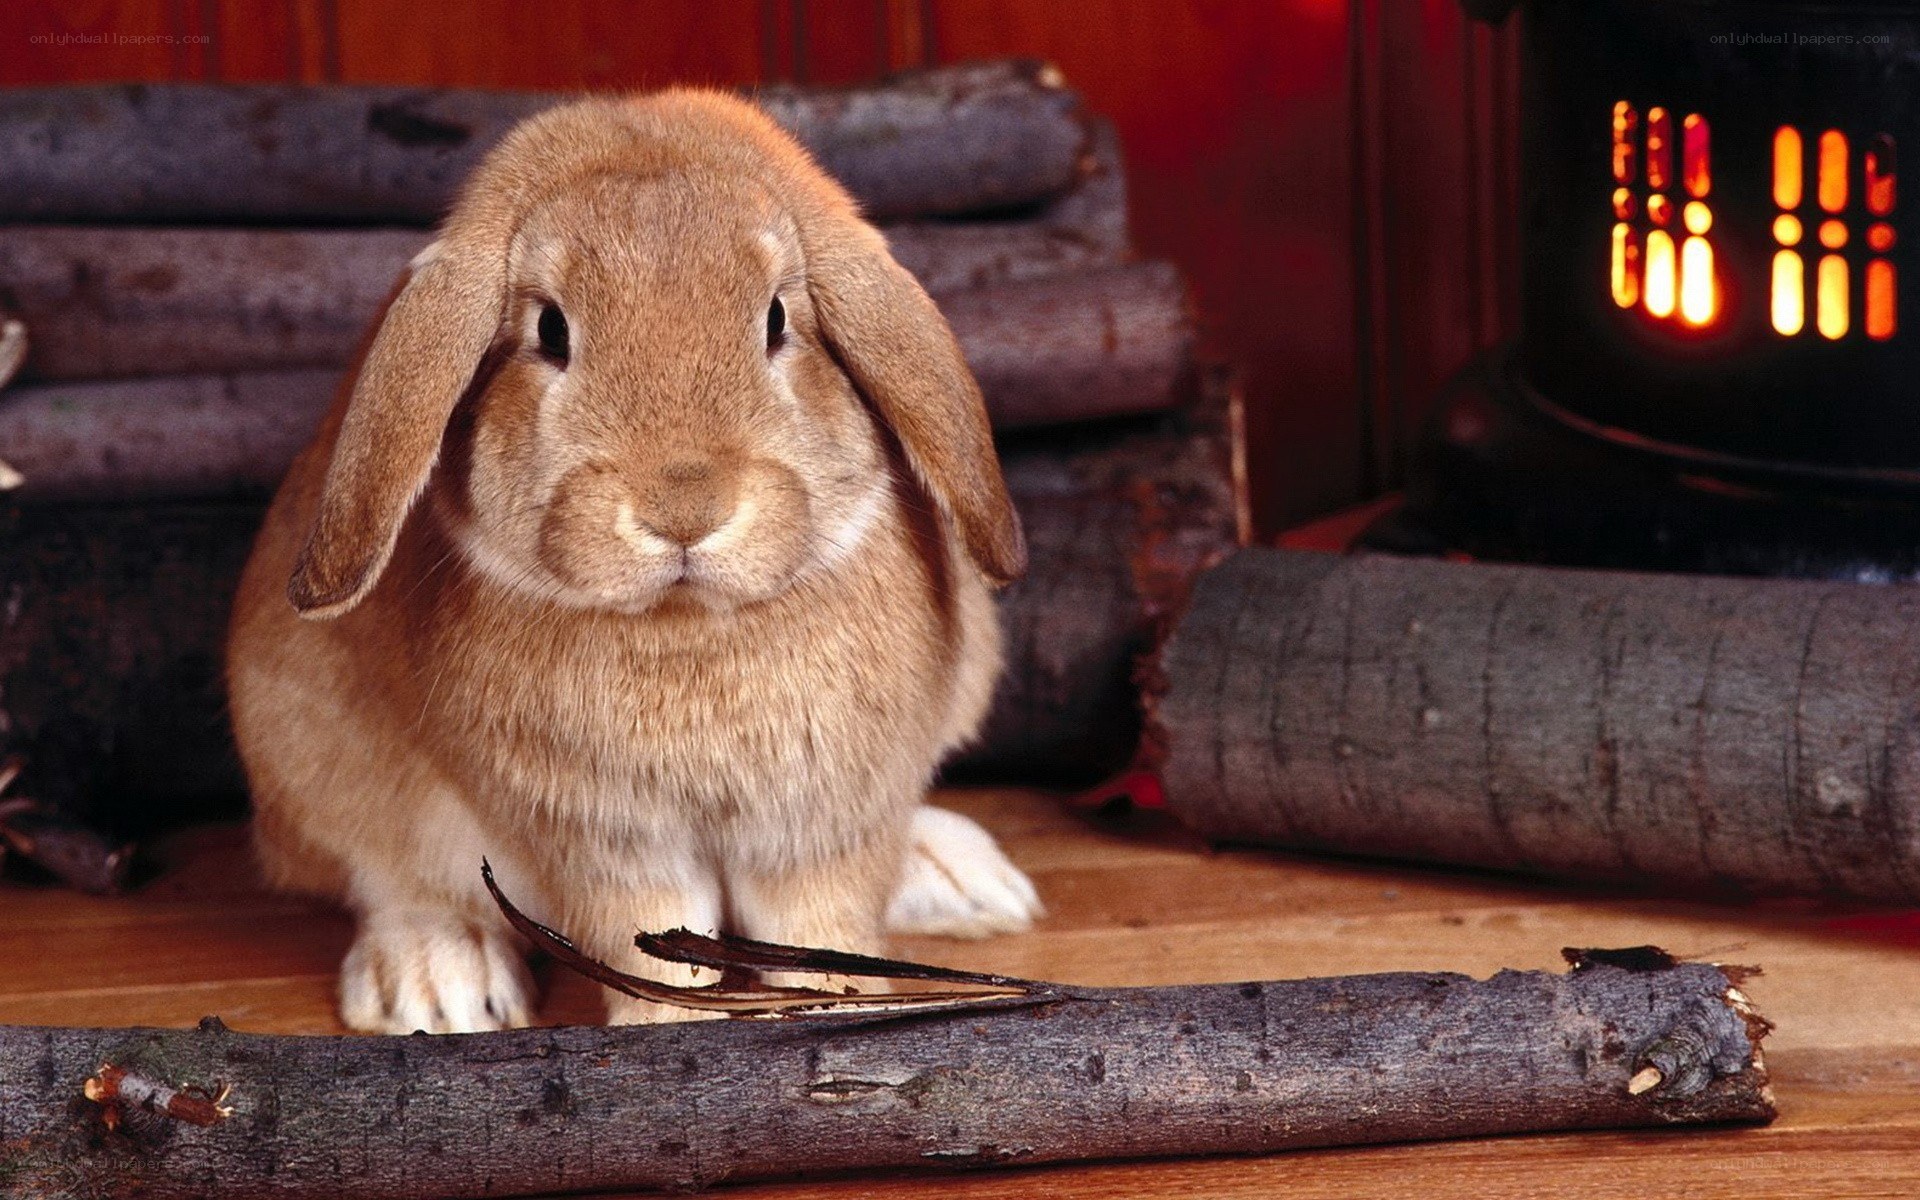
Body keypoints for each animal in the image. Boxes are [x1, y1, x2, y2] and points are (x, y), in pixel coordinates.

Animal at [226, 88, 1042, 1034]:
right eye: (550, 329)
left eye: (777, 320)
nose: (684, 508)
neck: (689, 626)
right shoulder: (605, 842)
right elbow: (649, 944)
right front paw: (671, 1032)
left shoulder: (825, 824)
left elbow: (820, 926)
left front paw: (844, 1013)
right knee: (388, 880)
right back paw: (438, 985)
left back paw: (965, 880)